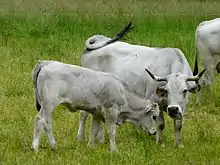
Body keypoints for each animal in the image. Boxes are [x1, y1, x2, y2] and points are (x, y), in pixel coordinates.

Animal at [30, 60, 160, 151]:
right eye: (154, 116)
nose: (154, 132)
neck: (122, 91)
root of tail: (46, 63)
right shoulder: (111, 113)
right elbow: (111, 132)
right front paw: (114, 150)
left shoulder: (96, 113)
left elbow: (93, 130)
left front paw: (91, 146)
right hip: (48, 105)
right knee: (40, 120)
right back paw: (35, 147)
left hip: (47, 107)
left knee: (47, 123)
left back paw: (54, 146)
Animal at [78, 22, 206, 148]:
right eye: (167, 90)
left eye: (184, 90)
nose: (173, 109)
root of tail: (98, 38)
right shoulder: (155, 101)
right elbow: (160, 125)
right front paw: (160, 143)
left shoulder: (182, 106)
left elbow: (179, 125)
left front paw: (179, 145)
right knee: (83, 114)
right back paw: (80, 138)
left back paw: (99, 139)